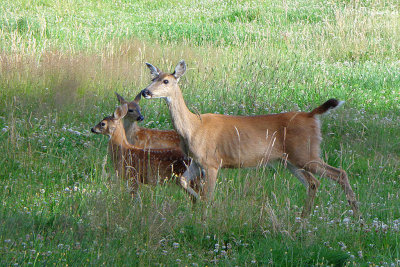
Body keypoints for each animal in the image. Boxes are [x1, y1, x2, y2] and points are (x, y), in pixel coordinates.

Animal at [140, 61, 360, 220]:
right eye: (153, 77)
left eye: (166, 81)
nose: (145, 92)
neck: (193, 127)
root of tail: (311, 115)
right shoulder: (196, 160)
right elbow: (182, 181)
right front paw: (197, 204)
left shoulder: (212, 162)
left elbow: (208, 195)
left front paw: (206, 216)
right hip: (289, 160)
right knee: (313, 183)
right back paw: (304, 219)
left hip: (305, 153)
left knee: (340, 173)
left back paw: (357, 218)